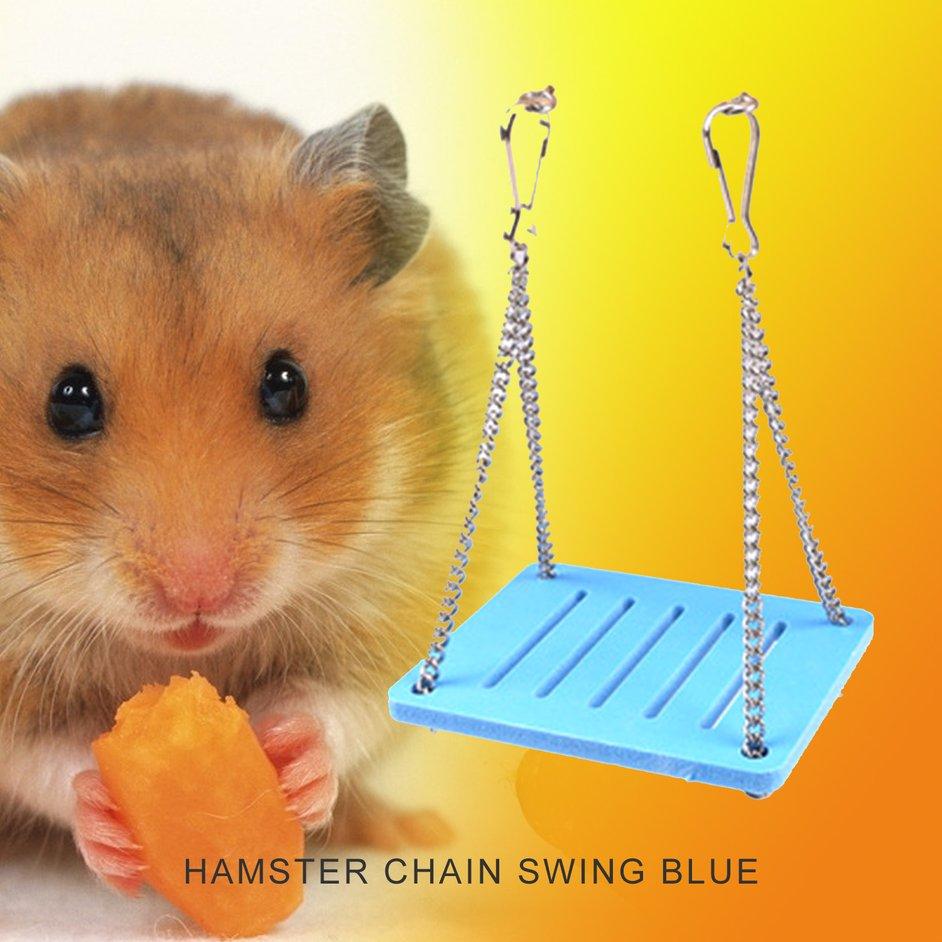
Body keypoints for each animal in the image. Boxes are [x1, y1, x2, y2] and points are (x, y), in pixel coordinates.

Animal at [0, 85, 485, 890]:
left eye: (287, 384)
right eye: (68, 401)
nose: (199, 595)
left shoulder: (404, 578)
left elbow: (342, 702)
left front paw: (289, 760)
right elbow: (41, 753)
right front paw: (109, 819)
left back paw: (408, 829)